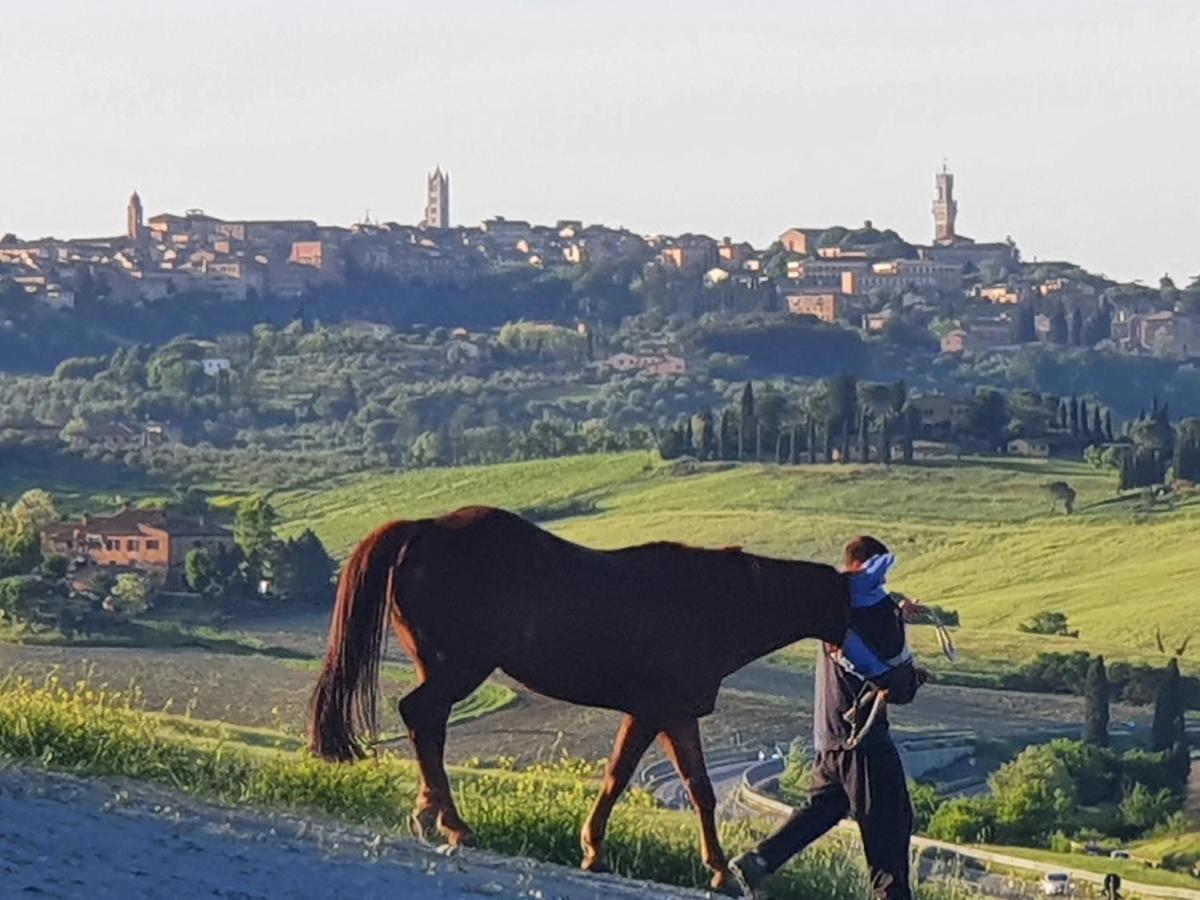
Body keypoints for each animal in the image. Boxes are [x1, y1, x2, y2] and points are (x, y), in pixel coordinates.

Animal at [314, 508, 849, 897]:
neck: (715, 602)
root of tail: (420, 529)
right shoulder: (661, 711)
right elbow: (666, 784)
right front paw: (713, 870)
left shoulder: (665, 715)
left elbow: (659, 782)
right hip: (459, 668)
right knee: (421, 716)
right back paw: (454, 825)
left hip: (442, 668)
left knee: (428, 725)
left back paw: (432, 814)